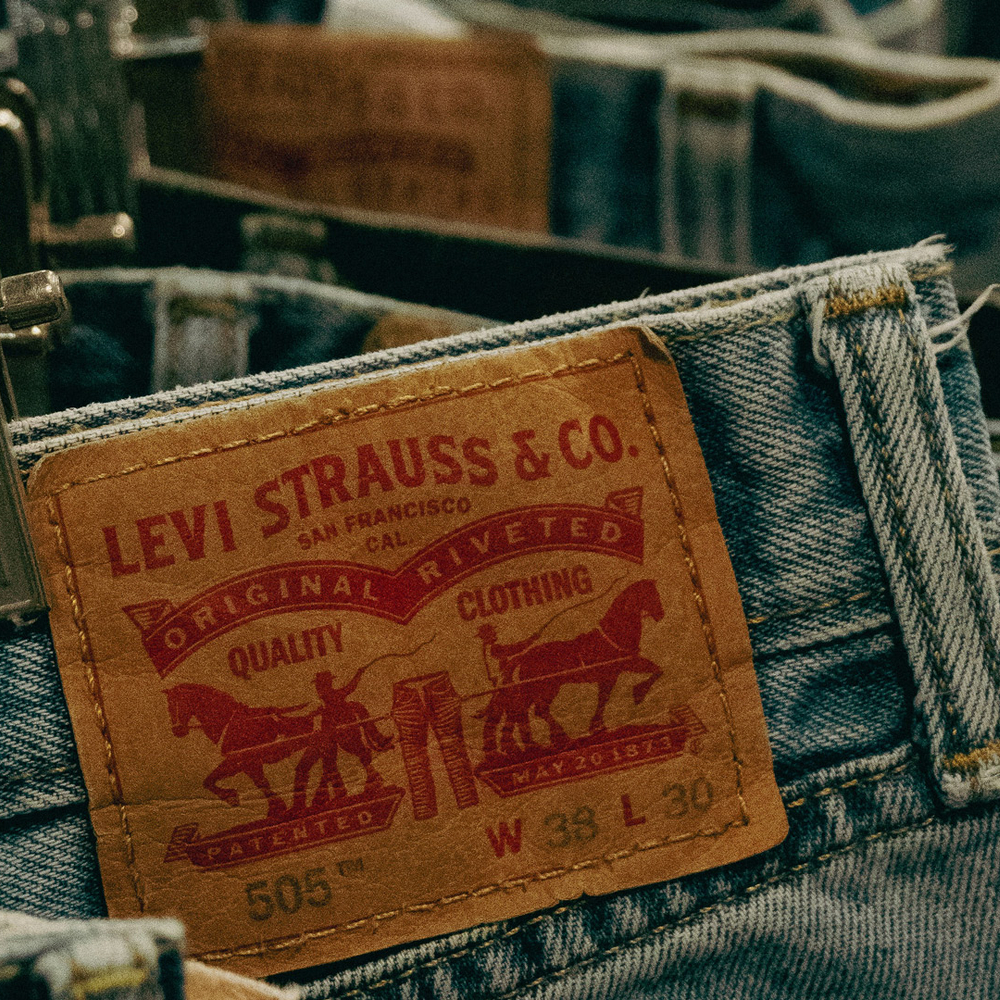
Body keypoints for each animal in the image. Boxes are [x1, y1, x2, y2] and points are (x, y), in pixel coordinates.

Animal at [165, 683, 314, 818]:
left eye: (182, 703)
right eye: (169, 707)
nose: (178, 730)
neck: (231, 723)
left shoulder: (249, 761)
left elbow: (262, 783)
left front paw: (276, 808)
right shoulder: (239, 763)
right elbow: (209, 780)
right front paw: (232, 797)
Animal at [479, 579, 664, 755]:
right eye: (652, 595)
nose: (661, 614)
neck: (613, 635)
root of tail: (522, 656)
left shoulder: (619, 670)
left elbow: (654, 670)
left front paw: (598, 724)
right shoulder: (613, 672)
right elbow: (607, 696)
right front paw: (637, 694)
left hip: (536, 689)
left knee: (522, 712)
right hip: (547, 687)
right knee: (535, 710)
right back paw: (554, 738)